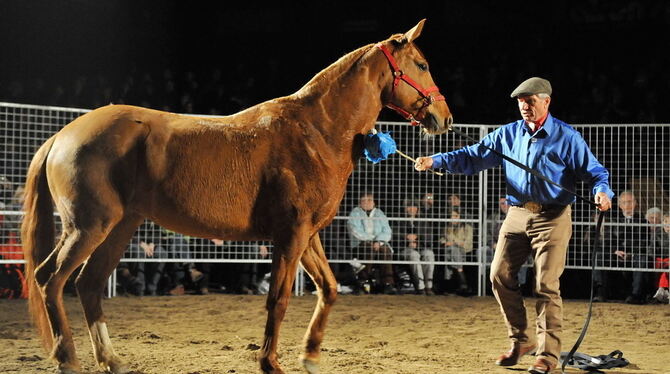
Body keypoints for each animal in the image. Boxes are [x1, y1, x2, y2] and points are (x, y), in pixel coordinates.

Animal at [21, 20, 454, 374]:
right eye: (422, 64)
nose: (445, 118)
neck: (316, 131)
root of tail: (62, 136)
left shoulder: (308, 235)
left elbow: (329, 289)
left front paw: (311, 355)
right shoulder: (290, 236)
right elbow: (278, 298)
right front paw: (269, 362)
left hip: (119, 228)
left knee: (89, 284)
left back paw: (111, 360)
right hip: (88, 227)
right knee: (49, 280)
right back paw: (67, 358)